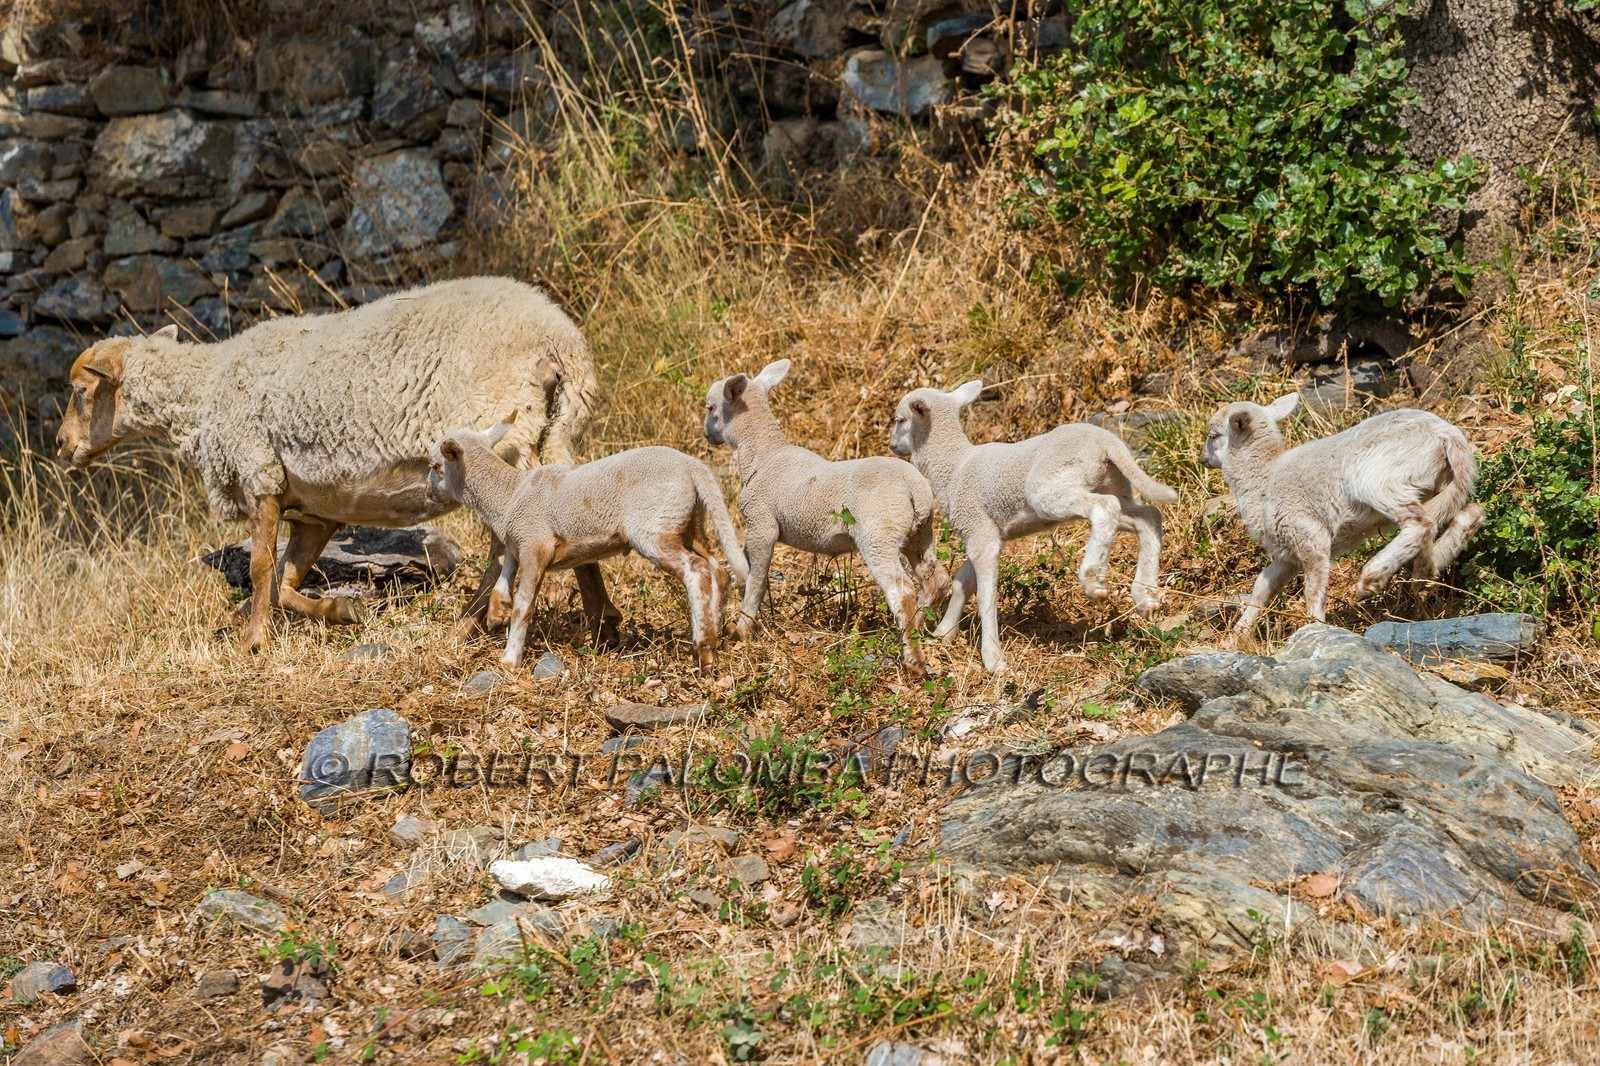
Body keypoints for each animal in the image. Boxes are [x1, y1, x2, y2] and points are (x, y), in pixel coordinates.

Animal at [53, 276, 619, 653]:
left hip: (501, 430)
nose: (61, 445)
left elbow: (259, 570)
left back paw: (476, 622)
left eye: (81, 391)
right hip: (557, 430)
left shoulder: (258, 470)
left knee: (510, 535)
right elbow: (284, 582)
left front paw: (253, 641)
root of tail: (555, 342)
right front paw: (341, 612)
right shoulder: (315, 510)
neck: (207, 389)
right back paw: (600, 622)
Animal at [426, 414, 749, 671]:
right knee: (717, 570)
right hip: (687, 524)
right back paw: (715, 631)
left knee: (696, 571)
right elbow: (504, 576)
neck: (509, 495)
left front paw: (509, 660)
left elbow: (523, 604)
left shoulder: (536, 544)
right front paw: (496, 613)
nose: (428, 494)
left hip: (653, 527)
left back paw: (703, 649)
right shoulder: (521, 541)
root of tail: (694, 468)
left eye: (435, 466)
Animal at [703, 359, 948, 678]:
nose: (706, 436)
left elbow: (756, 579)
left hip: (878, 532)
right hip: (920, 531)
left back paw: (913, 660)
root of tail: (915, 488)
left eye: (710, 407)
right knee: (936, 578)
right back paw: (919, 626)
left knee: (902, 590)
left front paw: (743, 629)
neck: (764, 455)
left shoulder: (761, 523)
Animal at [890, 380, 1179, 674]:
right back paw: (1145, 596)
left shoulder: (979, 529)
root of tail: (1105, 441)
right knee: (1147, 516)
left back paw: (1093, 579)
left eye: (900, 420)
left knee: (1105, 508)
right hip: (1111, 483)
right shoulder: (985, 532)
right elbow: (962, 581)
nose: (892, 446)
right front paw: (944, 632)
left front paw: (993, 659)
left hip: (1051, 487)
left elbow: (985, 596)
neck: (953, 466)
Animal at [1201, 393, 1484, 642]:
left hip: (1377, 476)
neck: (1264, 478)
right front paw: (1236, 638)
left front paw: (1314, 628)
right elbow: (1262, 587)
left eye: (1214, 436)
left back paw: (1371, 579)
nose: (1202, 459)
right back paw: (1427, 571)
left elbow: (1313, 590)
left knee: (1421, 524)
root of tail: (1447, 434)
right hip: (1439, 483)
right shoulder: (1287, 552)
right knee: (1469, 513)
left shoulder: (1308, 534)